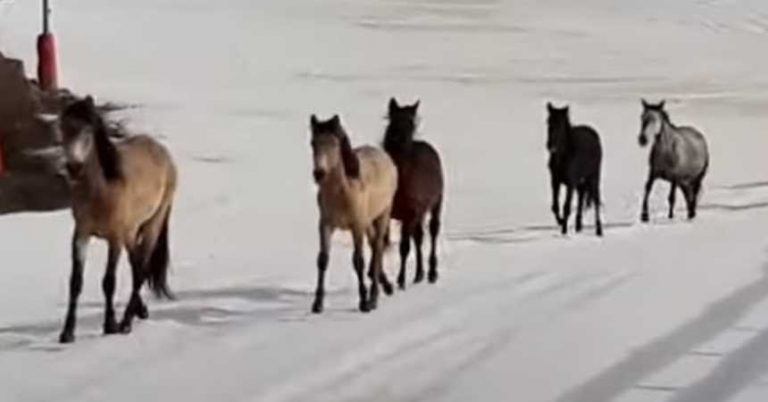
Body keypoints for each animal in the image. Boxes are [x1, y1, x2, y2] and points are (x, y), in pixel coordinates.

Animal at [56, 96, 177, 343]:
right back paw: (140, 311)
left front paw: (110, 325)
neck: (103, 189)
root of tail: (162, 152)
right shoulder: (81, 234)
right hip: (132, 232)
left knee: (141, 270)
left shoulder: (115, 239)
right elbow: (76, 281)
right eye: (63, 127)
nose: (74, 168)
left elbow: (108, 282)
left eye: (88, 131)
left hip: (152, 225)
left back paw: (126, 323)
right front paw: (67, 333)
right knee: (137, 266)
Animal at [310, 114, 398, 313]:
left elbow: (358, 261)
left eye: (334, 144)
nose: (319, 173)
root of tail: (385, 157)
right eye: (313, 143)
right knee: (374, 244)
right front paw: (317, 304)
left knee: (378, 246)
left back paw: (374, 297)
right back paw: (386, 285)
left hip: (382, 215)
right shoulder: (325, 224)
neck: (343, 192)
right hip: (368, 222)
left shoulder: (356, 227)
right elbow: (322, 260)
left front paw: (363, 301)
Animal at [383, 98, 444, 290]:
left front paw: (401, 281)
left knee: (432, 232)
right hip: (419, 213)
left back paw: (432, 273)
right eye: (393, 120)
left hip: (436, 205)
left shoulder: (409, 214)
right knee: (419, 238)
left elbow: (404, 247)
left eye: (411, 123)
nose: (399, 141)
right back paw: (419, 274)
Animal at [546, 103, 603, 236]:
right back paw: (578, 226)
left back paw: (599, 230)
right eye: (548, 122)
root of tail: (595, 135)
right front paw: (561, 221)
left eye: (561, 125)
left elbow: (566, 206)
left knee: (596, 200)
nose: (550, 146)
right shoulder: (555, 181)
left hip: (594, 177)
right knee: (581, 197)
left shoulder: (570, 183)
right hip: (581, 182)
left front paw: (564, 230)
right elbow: (555, 206)